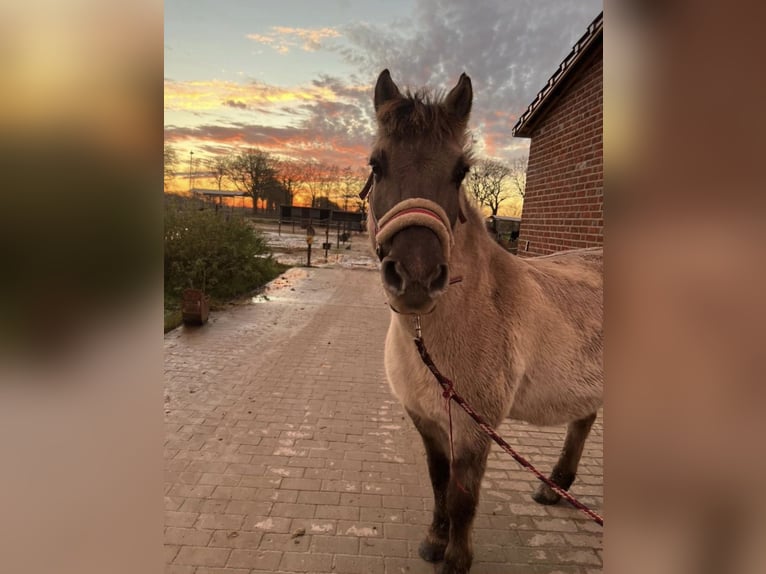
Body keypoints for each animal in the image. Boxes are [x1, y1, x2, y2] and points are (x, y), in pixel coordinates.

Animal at [364, 69, 603, 574]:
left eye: (461, 172)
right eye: (377, 164)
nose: (416, 278)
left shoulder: (476, 427)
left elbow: (462, 497)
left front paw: (456, 560)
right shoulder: (427, 420)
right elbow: (438, 483)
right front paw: (434, 542)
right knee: (583, 420)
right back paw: (553, 487)